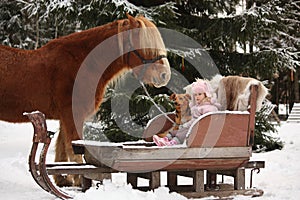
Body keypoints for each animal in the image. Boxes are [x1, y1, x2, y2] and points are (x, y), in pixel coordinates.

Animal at [0, 13, 170, 186]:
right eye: (146, 46)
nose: (165, 75)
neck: (82, 64)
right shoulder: (72, 115)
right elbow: (74, 149)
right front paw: (78, 180)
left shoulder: (65, 118)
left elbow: (62, 147)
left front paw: (63, 180)